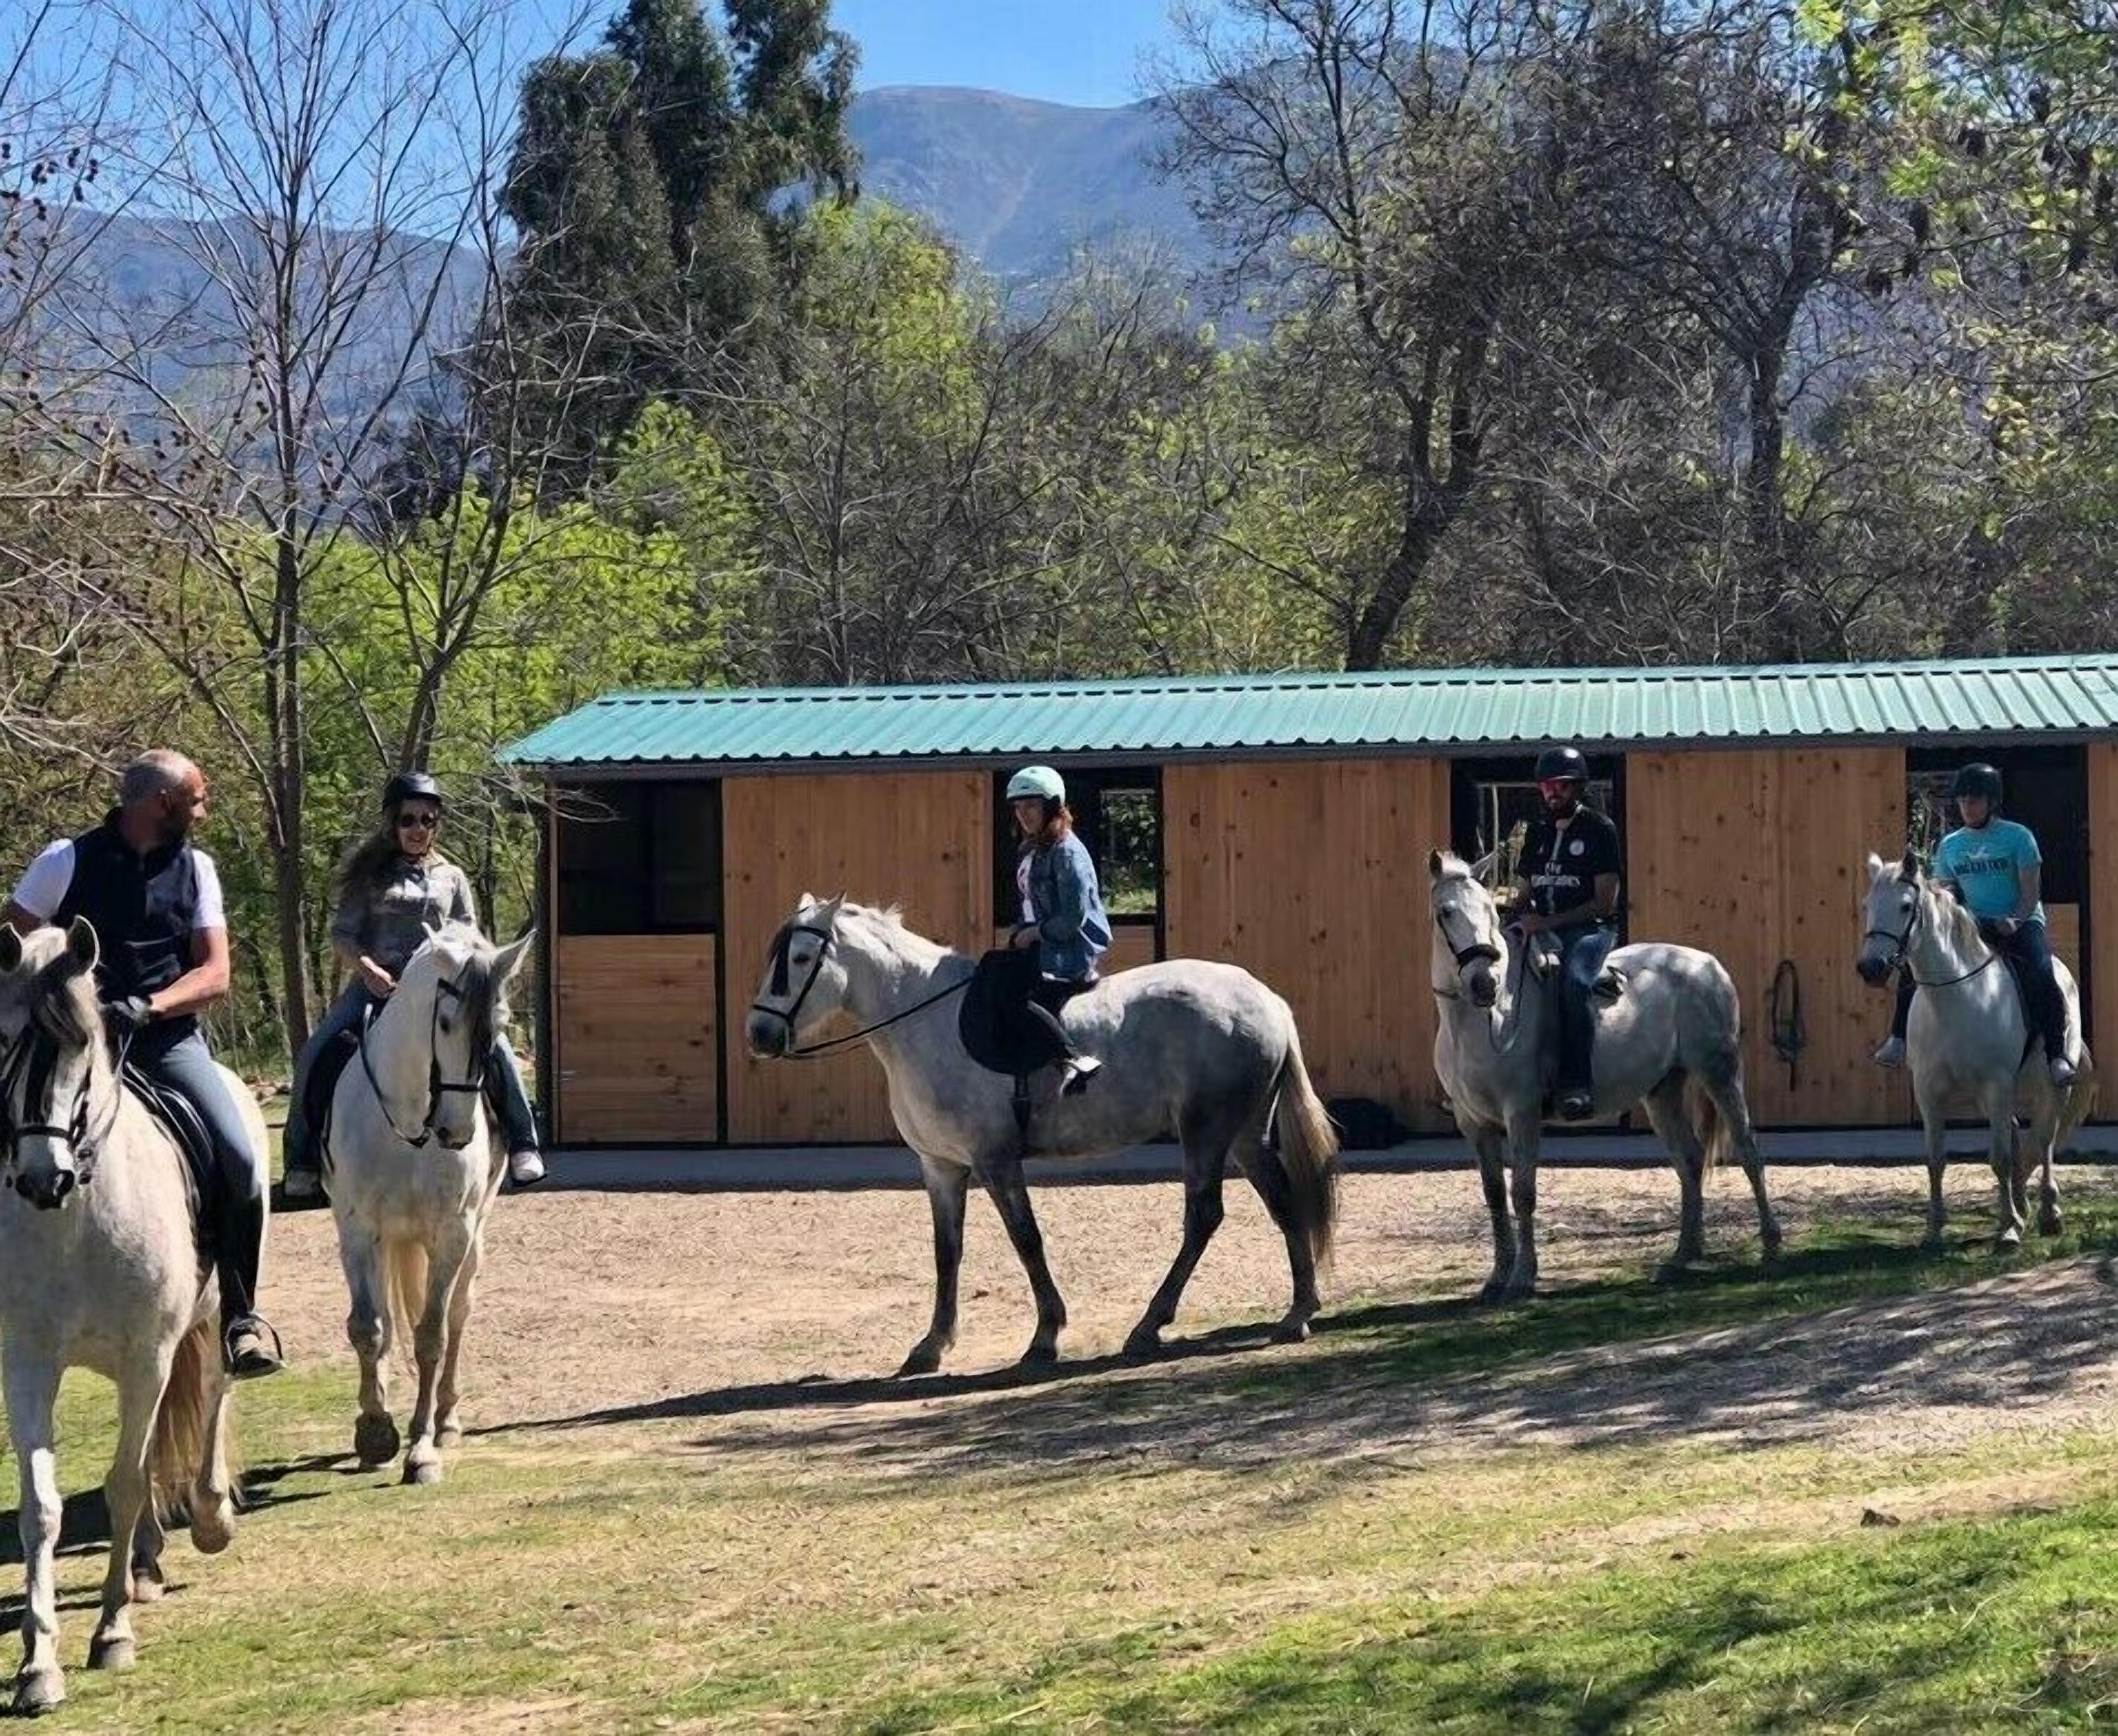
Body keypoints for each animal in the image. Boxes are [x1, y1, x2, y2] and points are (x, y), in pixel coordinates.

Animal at [0, 919, 250, 1715]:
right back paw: (145, 1565)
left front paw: (111, 1633)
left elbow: (125, 1484)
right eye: (4, 1038)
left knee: (213, 1394)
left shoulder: (149, 1354)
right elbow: (42, 1505)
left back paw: (209, 1517)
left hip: (205, 1324)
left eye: (84, 1043)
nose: (42, 1178)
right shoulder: (29, 1362)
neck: (77, 1216)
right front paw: (38, 1665)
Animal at [325, 921, 532, 1486]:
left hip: (473, 1238)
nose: (456, 1132)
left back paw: (447, 1419)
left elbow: (432, 1335)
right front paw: (375, 1430)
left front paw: (420, 1448)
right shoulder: (357, 1230)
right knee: (383, 1320)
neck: (410, 1119)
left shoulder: (452, 1232)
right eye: (443, 1021)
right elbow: (367, 1328)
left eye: (500, 1024)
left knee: (459, 1313)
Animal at [744, 896, 1340, 1372]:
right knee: (1283, 1203)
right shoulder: (941, 1167)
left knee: (1204, 1217)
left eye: (800, 960)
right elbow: (947, 1251)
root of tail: (1263, 997)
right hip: (1242, 1134)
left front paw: (1045, 1338)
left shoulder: (996, 1162)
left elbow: (1026, 1241)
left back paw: (1151, 1324)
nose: (760, 1033)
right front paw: (932, 1345)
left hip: (1207, 1132)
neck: (925, 1023)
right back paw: (1296, 1313)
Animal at [1426, 851, 1780, 1300]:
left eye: (1490, 910)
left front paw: (1524, 1277)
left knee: (1748, 1148)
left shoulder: (1521, 1112)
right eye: (1446, 912)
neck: (1486, 1021)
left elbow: (1522, 1193)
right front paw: (1497, 1277)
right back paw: (1682, 1255)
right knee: (1689, 1159)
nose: (1484, 983)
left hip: (1719, 1071)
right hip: (1662, 1090)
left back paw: (1770, 1243)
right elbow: (1493, 1196)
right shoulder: (1473, 1123)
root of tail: (1706, 964)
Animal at [1856, 853, 2097, 1249]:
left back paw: (2049, 1214)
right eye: (1867, 906)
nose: (1870, 968)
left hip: (2050, 1085)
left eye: (1906, 906)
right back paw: (2023, 1206)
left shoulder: (1996, 1083)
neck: (1957, 999)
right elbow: (1936, 1159)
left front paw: (2009, 1229)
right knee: (2017, 1134)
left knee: (2045, 1138)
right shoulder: (1930, 1091)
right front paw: (1935, 1228)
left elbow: (1999, 1158)